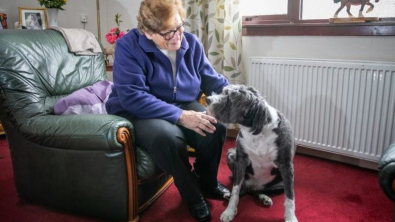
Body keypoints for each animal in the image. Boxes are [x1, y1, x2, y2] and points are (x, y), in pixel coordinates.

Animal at [206, 84, 298, 222]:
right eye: (224, 91)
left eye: (230, 98)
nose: (208, 99)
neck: (256, 130)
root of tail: (253, 186)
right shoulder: (240, 161)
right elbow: (235, 190)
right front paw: (229, 211)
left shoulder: (286, 165)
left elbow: (289, 197)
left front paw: (291, 217)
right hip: (231, 155)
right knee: (243, 189)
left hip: (282, 182)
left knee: (260, 191)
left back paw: (265, 197)